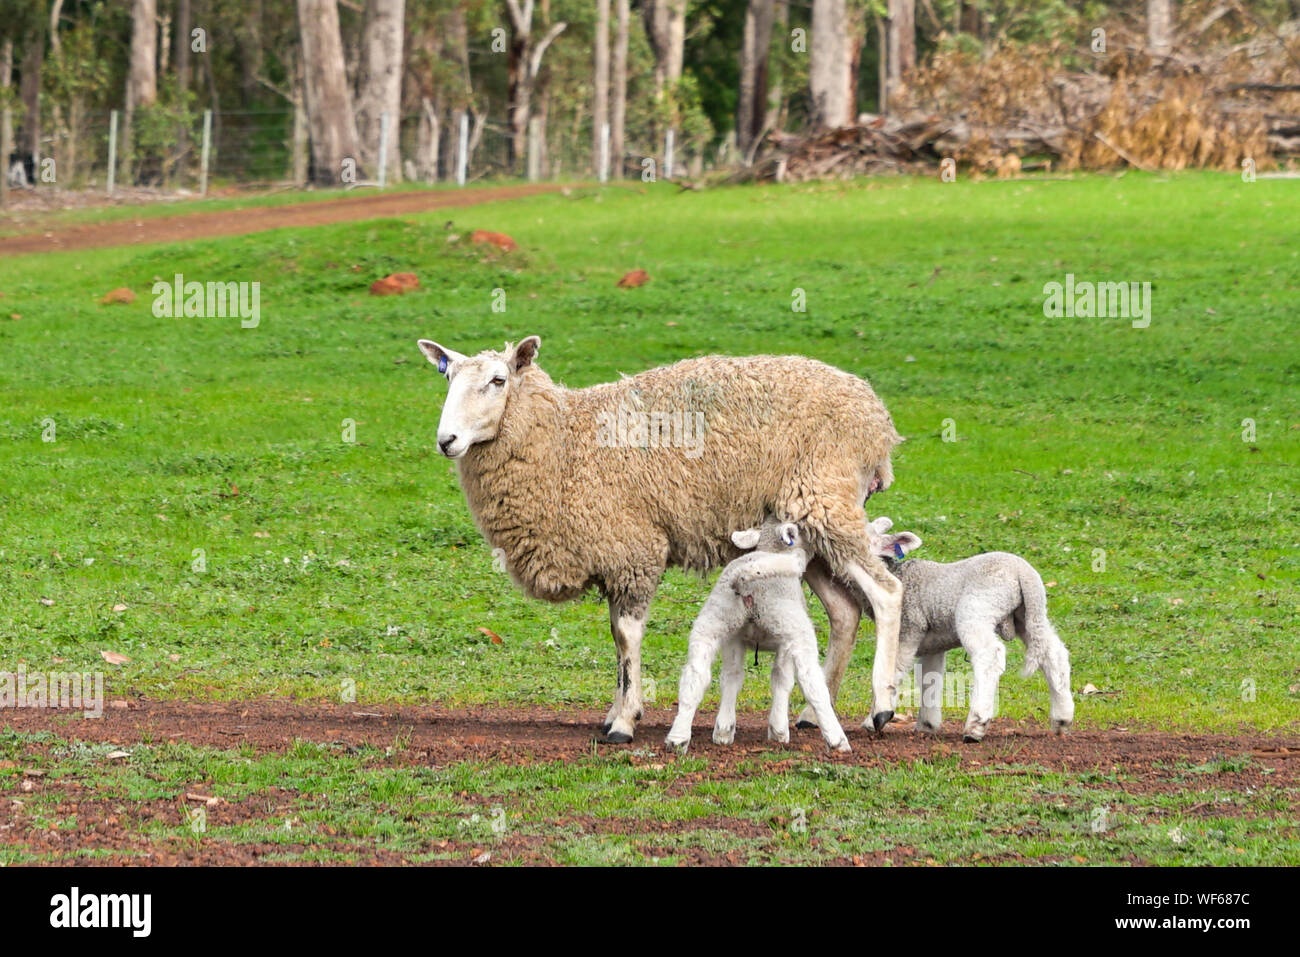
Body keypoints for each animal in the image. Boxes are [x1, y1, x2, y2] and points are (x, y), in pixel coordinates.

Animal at [665, 518, 851, 754]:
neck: (772, 551)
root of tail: (748, 583)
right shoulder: (784, 645)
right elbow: (782, 678)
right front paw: (779, 731)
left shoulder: (734, 639)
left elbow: (732, 676)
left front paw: (724, 730)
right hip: (792, 624)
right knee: (811, 681)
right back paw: (837, 739)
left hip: (713, 618)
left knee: (695, 675)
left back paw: (678, 737)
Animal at [865, 518, 1075, 742]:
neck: (898, 575)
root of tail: (1023, 572)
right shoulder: (933, 645)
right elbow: (930, 678)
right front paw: (927, 724)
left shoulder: (908, 628)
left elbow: (893, 669)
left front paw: (875, 718)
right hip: (1030, 615)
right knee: (1053, 653)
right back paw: (1062, 718)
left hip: (977, 608)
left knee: (989, 656)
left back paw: (976, 726)